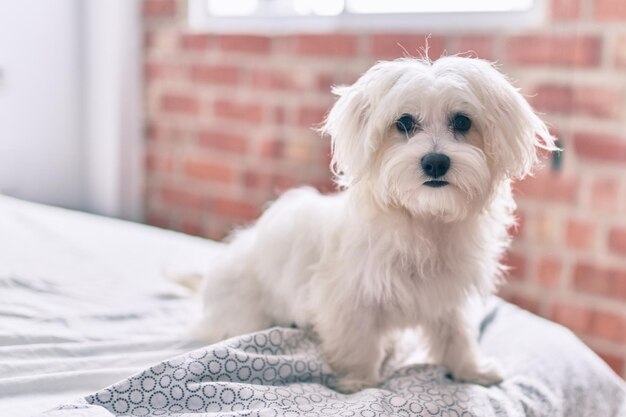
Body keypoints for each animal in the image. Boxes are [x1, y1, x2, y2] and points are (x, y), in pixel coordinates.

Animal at [196, 57, 556, 392]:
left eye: (463, 121)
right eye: (404, 122)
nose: (435, 161)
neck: (422, 217)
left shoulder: (448, 294)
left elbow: (457, 333)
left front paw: (471, 370)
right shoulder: (349, 296)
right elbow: (358, 340)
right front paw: (359, 382)